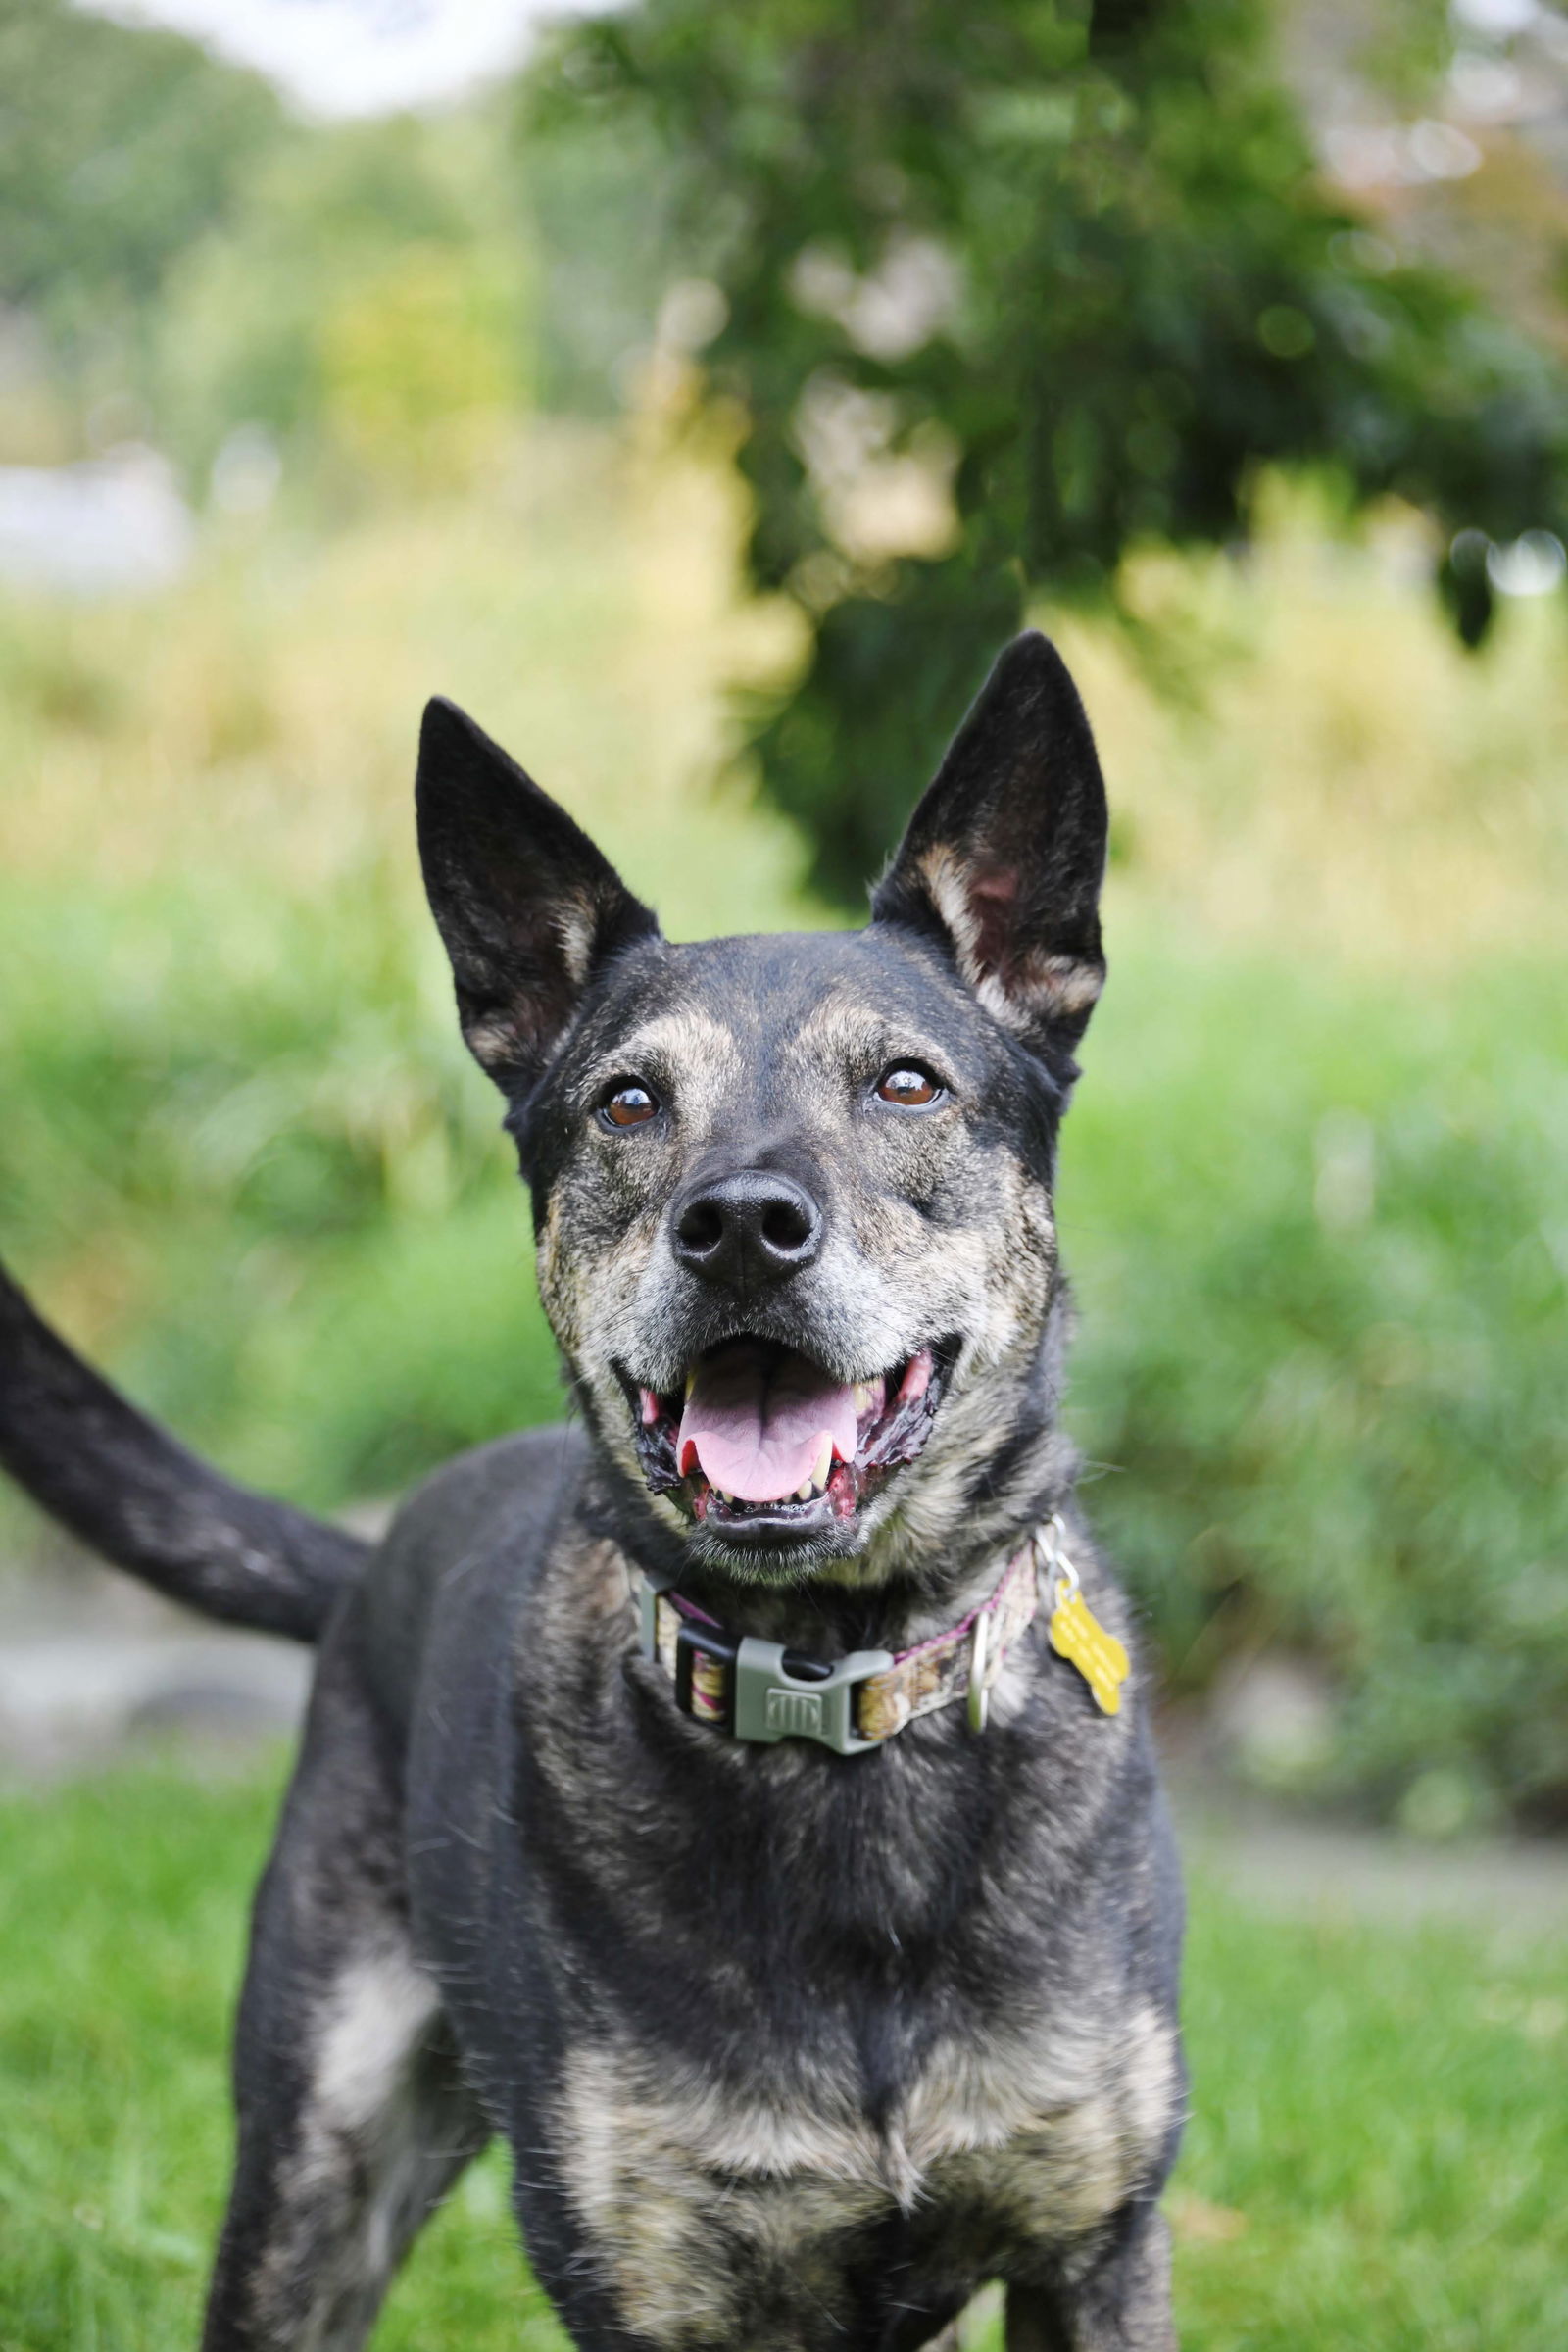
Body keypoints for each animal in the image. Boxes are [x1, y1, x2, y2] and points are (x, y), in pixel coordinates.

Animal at [0, 635, 1184, 2342]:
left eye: (906, 1085)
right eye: (628, 1103)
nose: (742, 1225)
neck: (833, 1696)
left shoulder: (1094, 2238)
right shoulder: (645, 2278)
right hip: (316, 2159)